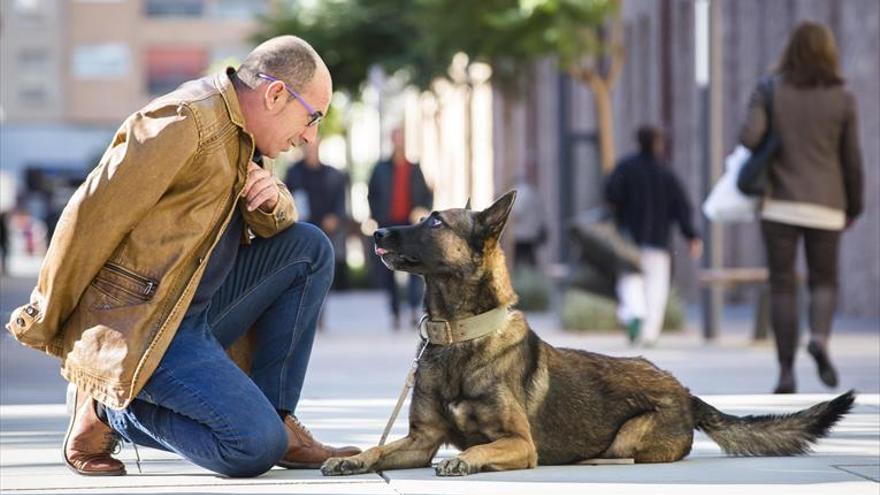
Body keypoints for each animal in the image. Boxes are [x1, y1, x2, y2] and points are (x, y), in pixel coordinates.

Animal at [322, 190, 852, 476]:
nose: (376, 233)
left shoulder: (520, 444)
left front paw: (467, 460)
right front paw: (355, 458)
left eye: (434, 222)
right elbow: (380, 448)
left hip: (630, 437)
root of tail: (685, 390)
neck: (459, 333)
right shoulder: (421, 440)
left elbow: (483, 446)